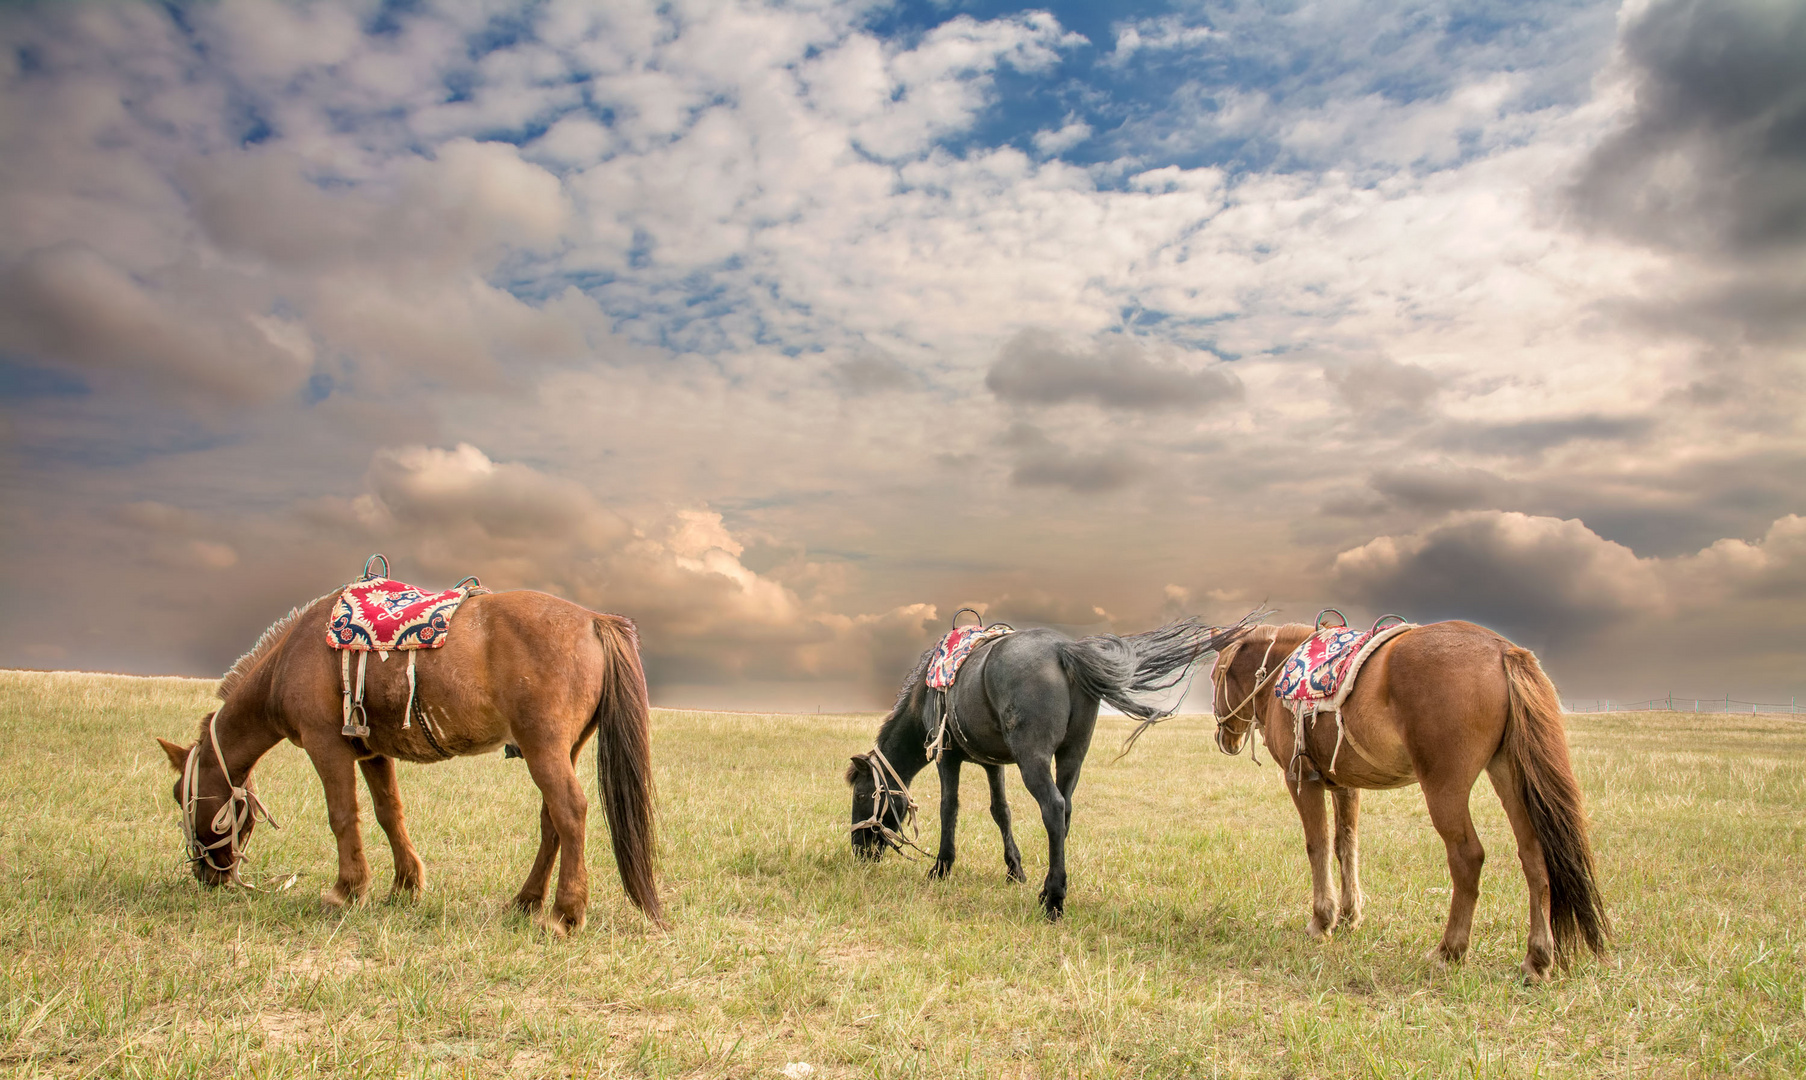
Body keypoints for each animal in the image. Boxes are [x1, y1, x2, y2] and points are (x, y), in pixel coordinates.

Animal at [153, 588, 664, 931]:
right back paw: (525, 902)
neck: (290, 659)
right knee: (551, 822)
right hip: (562, 750)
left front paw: (345, 891)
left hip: (544, 748)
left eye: (182, 795)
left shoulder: (325, 746)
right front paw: (404, 886)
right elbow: (388, 813)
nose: (206, 876)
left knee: (570, 813)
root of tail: (594, 619)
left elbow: (342, 815)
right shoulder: (371, 751)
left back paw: (564, 914)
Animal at [848, 617, 1256, 921]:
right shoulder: (992, 763)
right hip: (1073, 755)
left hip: (1034, 758)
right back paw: (1049, 887)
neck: (925, 695)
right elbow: (1001, 811)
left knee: (1053, 807)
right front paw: (1014, 870)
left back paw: (1054, 900)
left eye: (864, 793)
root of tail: (1063, 652)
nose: (859, 849)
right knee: (1065, 811)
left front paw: (941, 868)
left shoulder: (947, 755)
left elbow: (950, 808)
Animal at [1213, 621, 1610, 989]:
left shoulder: (1301, 779)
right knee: (1534, 857)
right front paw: (1349, 916)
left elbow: (1318, 846)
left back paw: (1450, 950)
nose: (1224, 738)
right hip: (1509, 775)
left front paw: (1321, 920)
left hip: (1445, 787)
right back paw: (1536, 958)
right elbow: (1346, 846)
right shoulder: (1344, 784)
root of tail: (1502, 650)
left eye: (1216, 675)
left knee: (1468, 857)